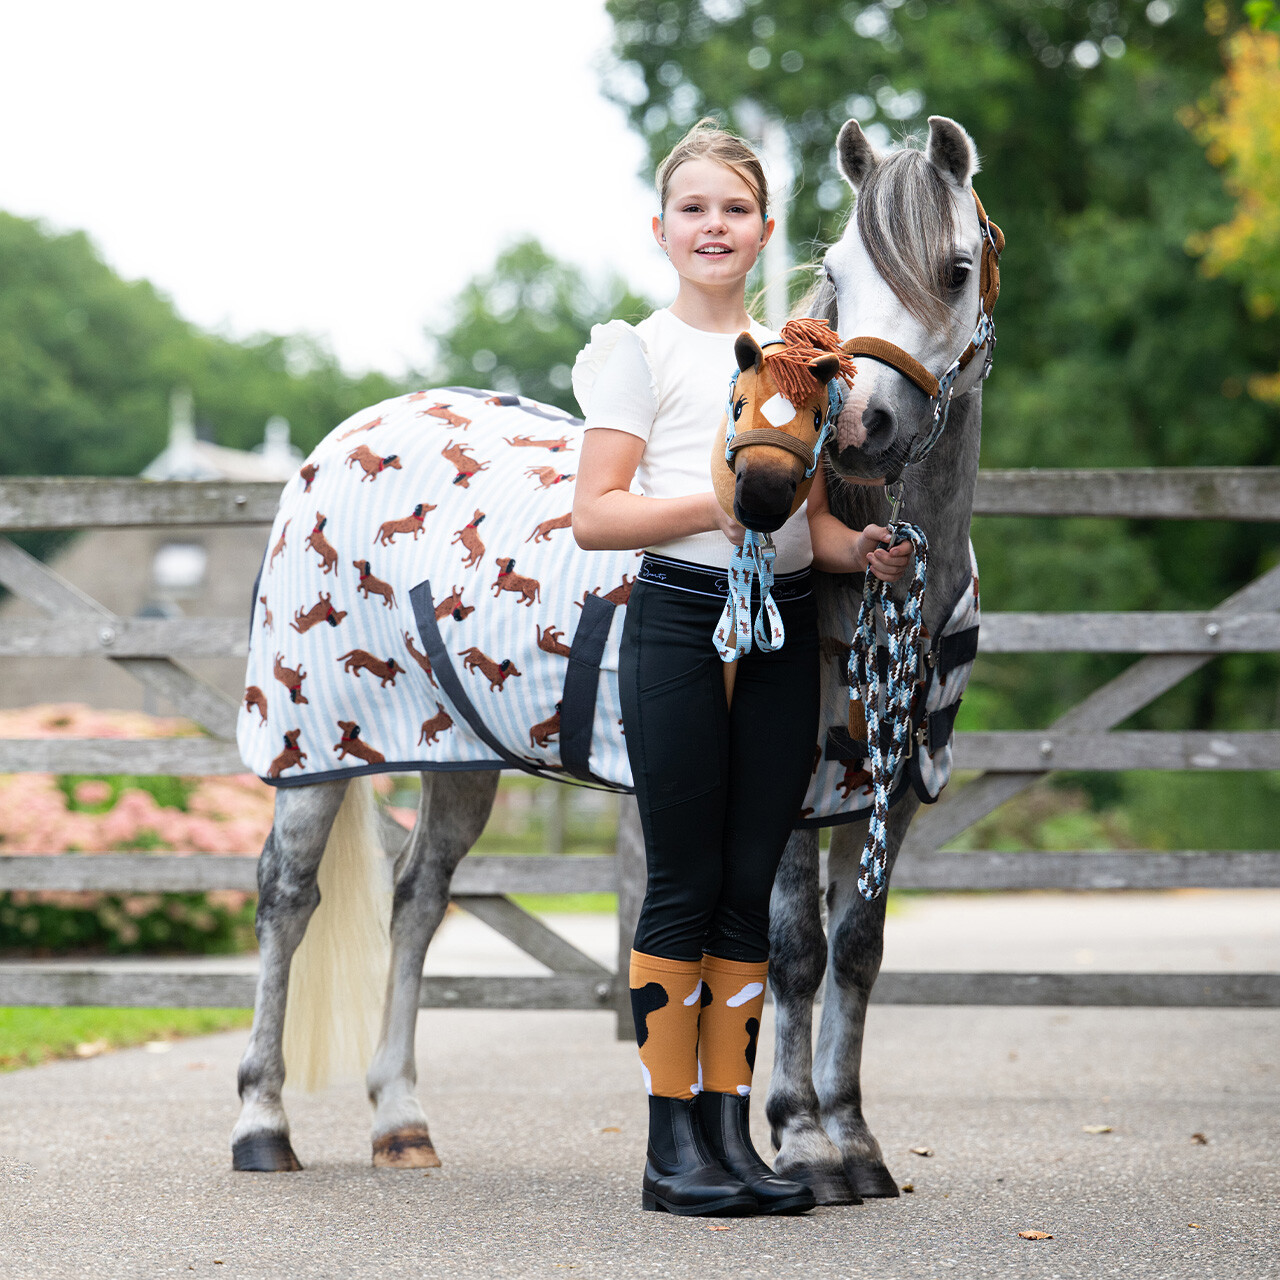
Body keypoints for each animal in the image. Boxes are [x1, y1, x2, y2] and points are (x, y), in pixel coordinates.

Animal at [229, 321, 857, 1172]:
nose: (762, 497)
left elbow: (851, 951)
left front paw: (850, 1147)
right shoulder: (795, 802)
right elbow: (794, 954)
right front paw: (809, 1146)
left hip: (460, 761)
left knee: (417, 897)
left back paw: (400, 1121)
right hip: (314, 759)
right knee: (287, 897)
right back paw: (262, 1124)